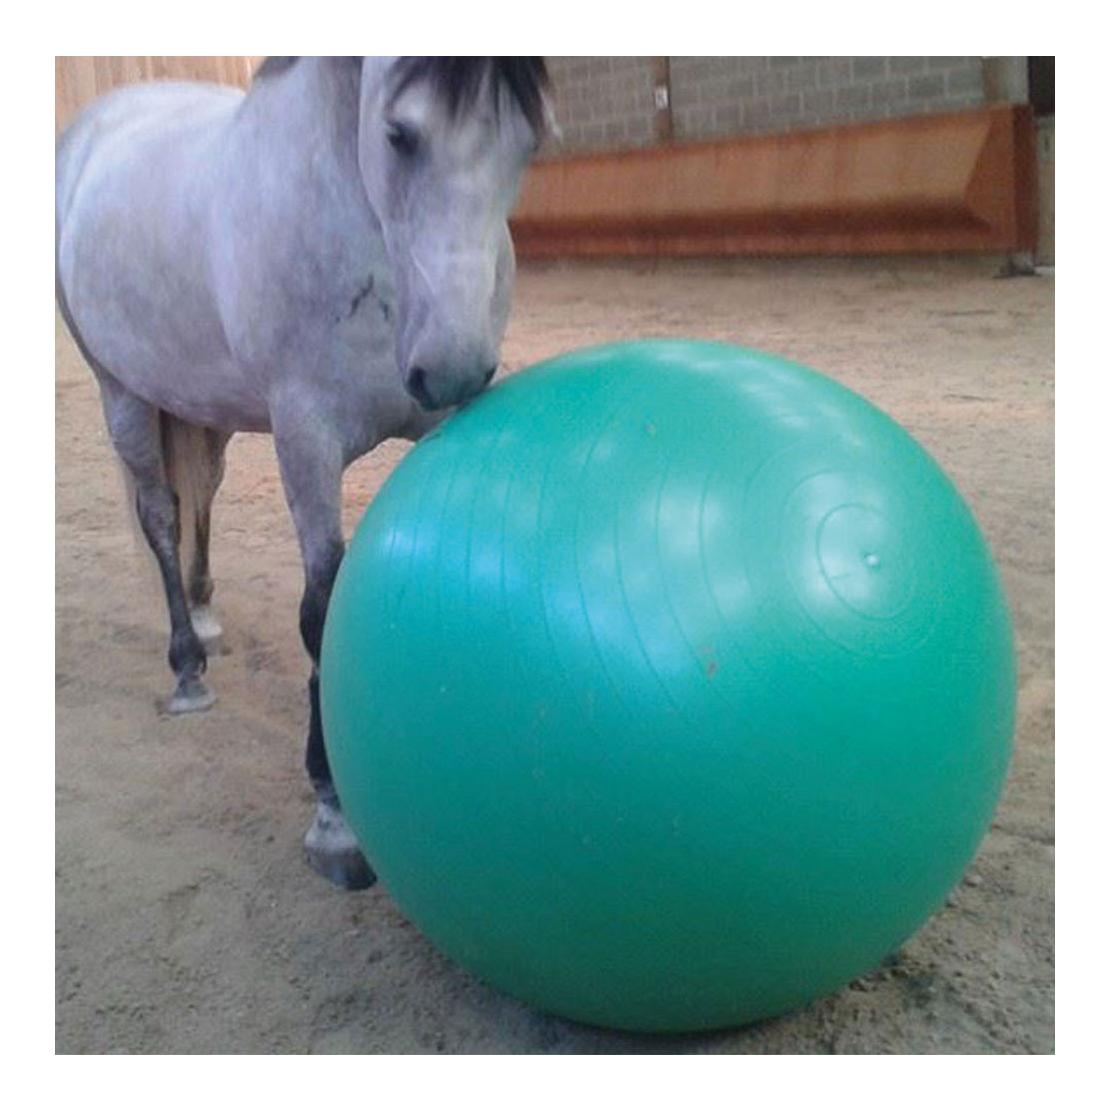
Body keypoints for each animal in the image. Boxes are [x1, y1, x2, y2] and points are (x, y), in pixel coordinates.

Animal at [55, 56, 551, 890]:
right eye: (399, 133)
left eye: (528, 143)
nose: (449, 367)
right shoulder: (305, 438)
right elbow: (321, 606)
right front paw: (335, 820)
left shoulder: (439, 423)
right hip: (121, 392)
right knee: (159, 515)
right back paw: (187, 669)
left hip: (206, 405)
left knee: (202, 496)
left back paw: (206, 613)